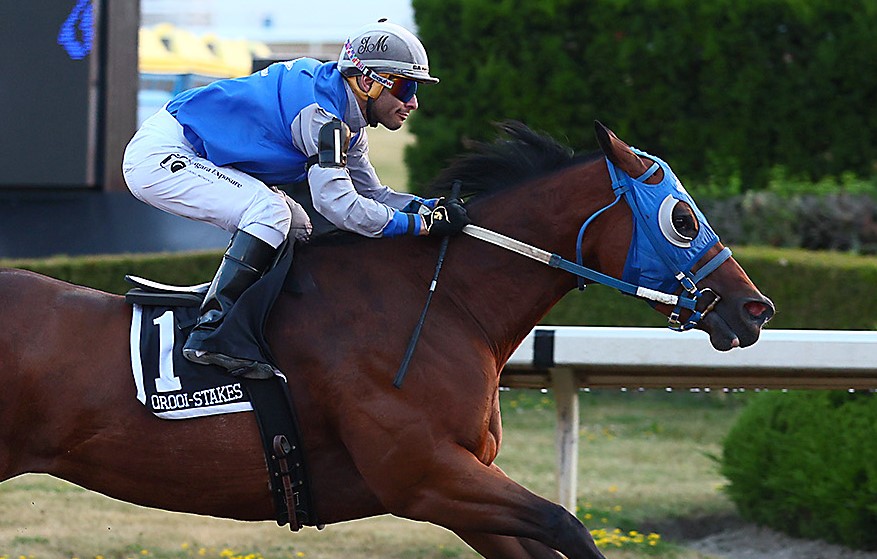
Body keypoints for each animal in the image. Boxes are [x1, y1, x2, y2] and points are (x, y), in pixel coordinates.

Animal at [0, 121, 773, 559]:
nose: (754, 308)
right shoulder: (423, 474)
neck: (441, 304)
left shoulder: (461, 481)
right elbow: (567, 527)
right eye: (681, 217)